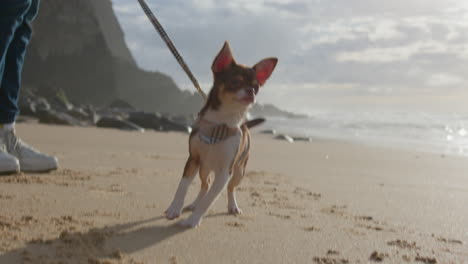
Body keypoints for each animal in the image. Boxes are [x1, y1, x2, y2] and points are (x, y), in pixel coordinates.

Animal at [164, 40, 276, 227]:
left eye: (256, 87)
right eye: (236, 82)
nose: (251, 91)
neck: (220, 123)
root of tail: (245, 125)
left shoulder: (225, 172)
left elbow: (209, 200)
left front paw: (193, 220)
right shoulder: (193, 159)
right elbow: (183, 185)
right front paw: (174, 209)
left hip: (239, 172)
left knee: (230, 187)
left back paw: (232, 206)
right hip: (204, 168)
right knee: (205, 184)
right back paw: (194, 204)